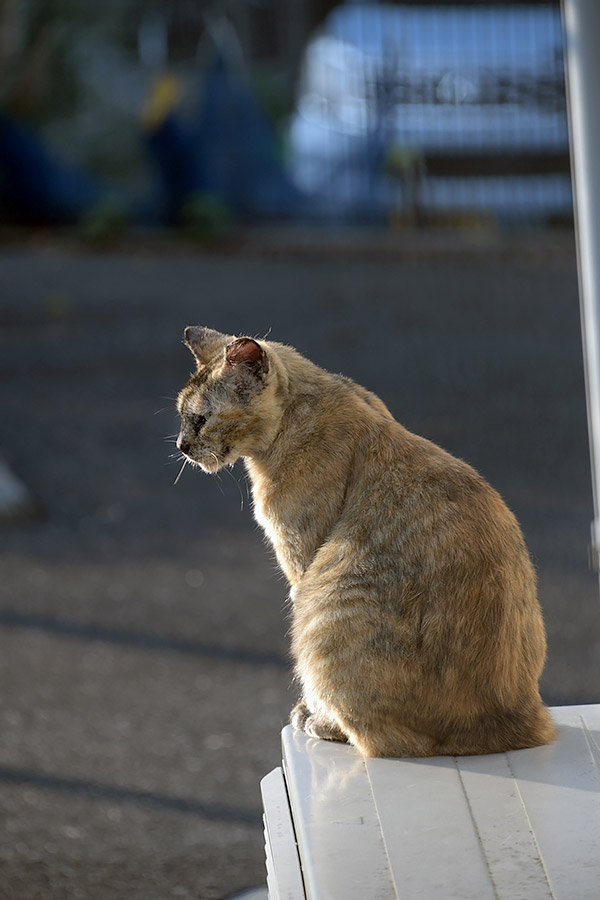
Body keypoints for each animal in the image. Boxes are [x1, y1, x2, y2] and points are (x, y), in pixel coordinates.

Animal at [176, 326, 556, 756]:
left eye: (200, 419)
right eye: (181, 417)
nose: (180, 446)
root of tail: (521, 724)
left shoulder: (302, 566)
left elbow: (312, 685)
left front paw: (312, 715)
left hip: (324, 605)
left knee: (380, 738)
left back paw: (325, 725)